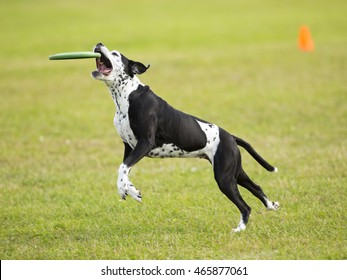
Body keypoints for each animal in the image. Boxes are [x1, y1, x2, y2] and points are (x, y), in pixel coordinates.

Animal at [92, 42, 280, 231]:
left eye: (115, 53)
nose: (99, 44)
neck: (127, 95)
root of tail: (231, 137)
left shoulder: (145, 143)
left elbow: (123, 167)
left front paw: (129, 190)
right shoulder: (129, 146)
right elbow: (124, 170)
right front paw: (128, 190)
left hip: (224, 178)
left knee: (245, 206)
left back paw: (240, 229)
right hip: (236, 172)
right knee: (257, 187)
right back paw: (271, 205)